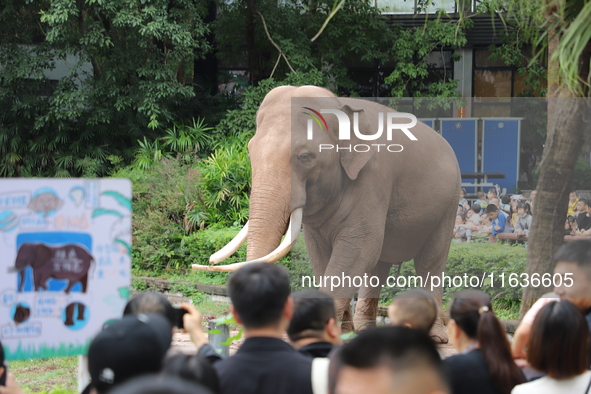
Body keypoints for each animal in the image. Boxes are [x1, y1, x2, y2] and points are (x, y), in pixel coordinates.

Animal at [194, 87, 462, 342]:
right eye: (250, 151)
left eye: (305, 157)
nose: (206, 262)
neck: (339, 104)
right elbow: (321, 255)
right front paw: (342, 334)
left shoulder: (373, 179)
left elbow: (358, 249)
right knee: (379, 266)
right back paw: (364, 330)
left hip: (449, 203)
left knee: (429, 262)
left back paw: (437, 337)